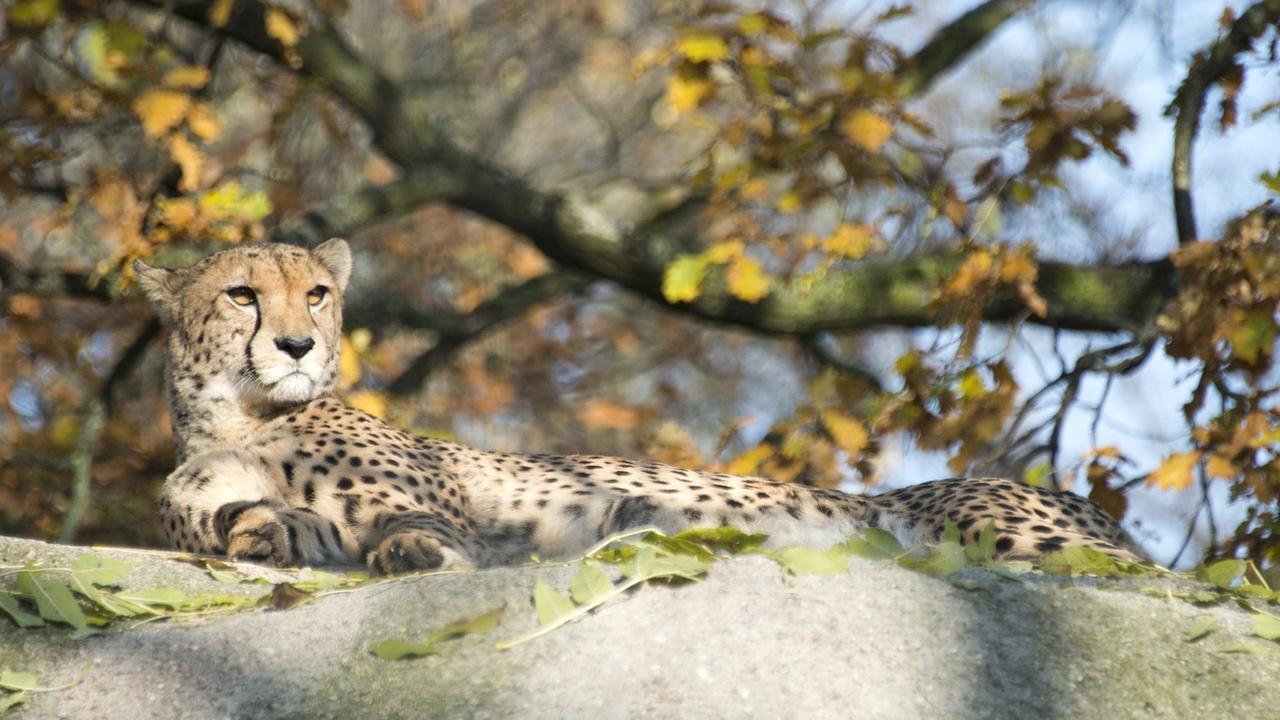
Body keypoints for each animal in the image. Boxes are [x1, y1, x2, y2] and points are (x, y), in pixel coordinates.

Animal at [135, 239, 1146, 571]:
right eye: (242, 295)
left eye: (316, 295)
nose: (297, 347)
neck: (240, 416)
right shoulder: (281, 514)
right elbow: (261, 526)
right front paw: (255, 529)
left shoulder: (438, 508)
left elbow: (420, 529)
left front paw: (418, 554)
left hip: (1002, 531)